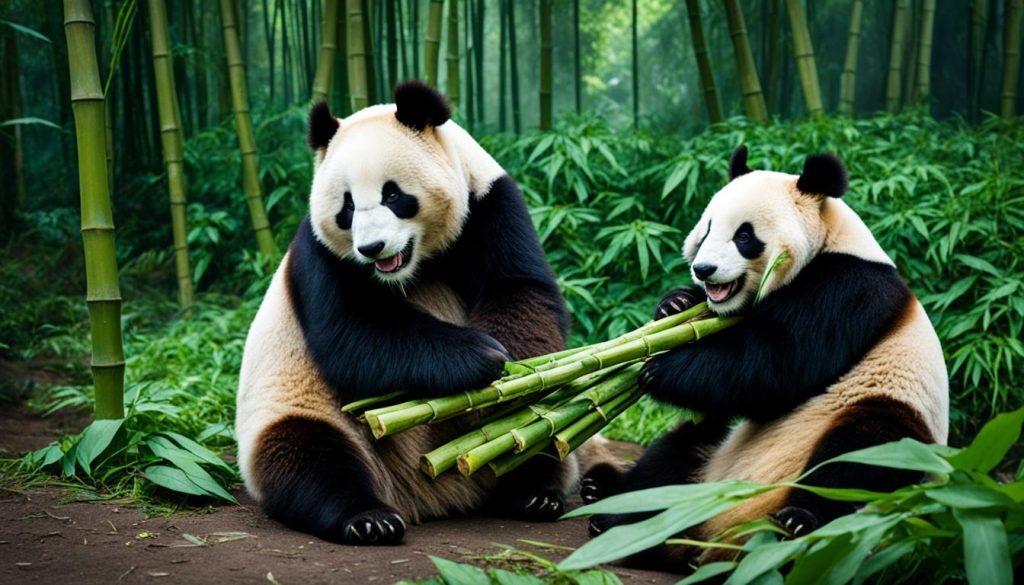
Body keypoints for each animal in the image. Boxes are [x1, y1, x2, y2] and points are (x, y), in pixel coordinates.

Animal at [236, 81, 613, 545]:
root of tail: (430, 493)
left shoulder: (489, 205)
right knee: (310, 457)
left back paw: (534, 493)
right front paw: (483, 357)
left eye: (393, 194)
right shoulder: (319, 254)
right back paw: (368, 519)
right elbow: (355, 333)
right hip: (301, 410)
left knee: (542, 432)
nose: (371, 248)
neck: (411, 269)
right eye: (346, 207)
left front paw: (513, 375)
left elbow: (521, 290)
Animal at [585, 146, 949, 570]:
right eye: (707, 230)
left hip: (895, 431)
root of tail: (713, 535)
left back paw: (796, 524)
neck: (832, 240)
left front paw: (660, 370)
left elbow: (777, 364)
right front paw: (675, 304)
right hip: (712, 461)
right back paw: (609, 499)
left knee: (863, 454)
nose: (703, 269)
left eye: (744, 235)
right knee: (681, 449)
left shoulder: (849, 290)